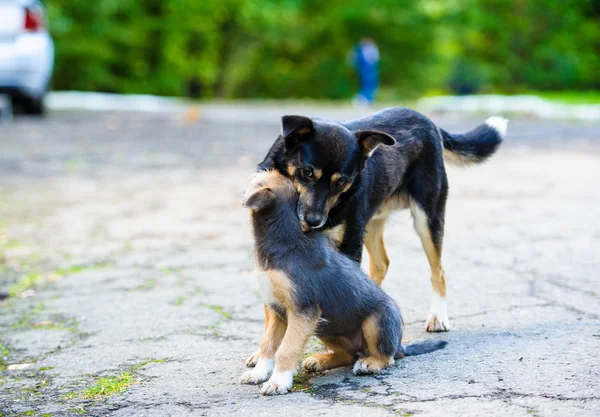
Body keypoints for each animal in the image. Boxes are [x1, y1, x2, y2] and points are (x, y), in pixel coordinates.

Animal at [239, 171, 446, 394]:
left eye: (257, 179)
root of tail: (400, 346)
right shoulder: (278, 311)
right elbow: (268, 345)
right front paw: (259, 373)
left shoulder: (303, 311)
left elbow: (287, 349)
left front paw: (278, 381)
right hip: (326, 327)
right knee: (348, 355)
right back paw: (321, 360)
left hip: (375, 321)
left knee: (386, 357)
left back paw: (369, 363)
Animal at [258, 106, 506, 332]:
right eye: (307, 172)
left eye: (340, 182)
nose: (314, 220)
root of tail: (427, 121)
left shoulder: (349, 243)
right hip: (370, 224)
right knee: (380, 265)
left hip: (426, 218)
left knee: (439, 272)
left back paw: (437, 317)